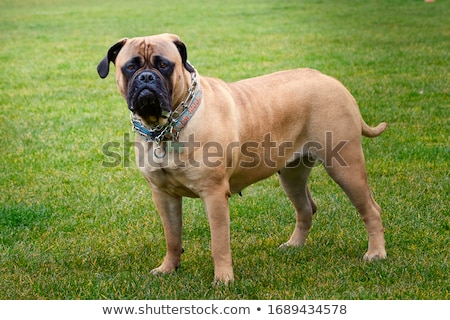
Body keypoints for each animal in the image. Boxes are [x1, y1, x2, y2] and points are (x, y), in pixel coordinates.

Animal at [96, 33, 384, 282]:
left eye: (164, 65)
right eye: (130, 67)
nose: (146, 78)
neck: (166, 127)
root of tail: (332, 81)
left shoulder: (214, 194)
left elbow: (219, 243)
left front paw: (223, 279)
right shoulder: (163, 195)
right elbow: (172, 236)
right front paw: (168, 268)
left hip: (345, 166)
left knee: (371, 209)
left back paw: (376, 254)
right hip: (292, 173)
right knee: (305, 208)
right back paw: (294, 245)